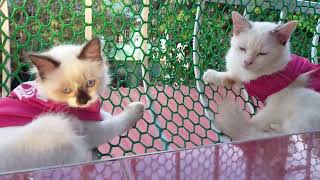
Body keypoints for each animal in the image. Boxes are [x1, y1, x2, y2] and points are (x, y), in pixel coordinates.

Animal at [0, 37, 144, 173]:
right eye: (66, 90)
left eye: (90, 83)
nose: (83, 101)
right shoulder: (92, 131)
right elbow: (117, 123)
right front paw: (138, 108)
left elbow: (104, 114)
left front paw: (105, 114)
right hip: (58, 126)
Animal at [202, 11, 320, 141]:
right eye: (242, 49)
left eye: (262, 54)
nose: (247, 62)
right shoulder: (240, 72)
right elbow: (232, 75)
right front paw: (213, 76)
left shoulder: (277, 104)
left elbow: (255, 122)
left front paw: (245, 131)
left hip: (301, 96)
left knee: (288, 132)